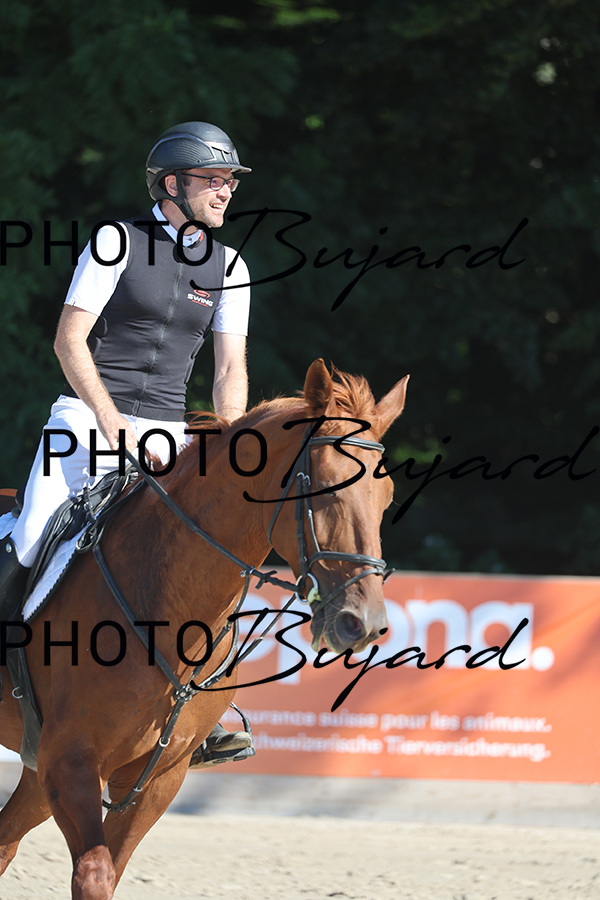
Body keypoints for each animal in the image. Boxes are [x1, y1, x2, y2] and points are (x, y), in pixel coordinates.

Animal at [0, 359, 408, 899]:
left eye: (386, 497)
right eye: (324, 488)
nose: (363, 623)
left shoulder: (153, 779)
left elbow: (110, 866)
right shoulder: (70, 764)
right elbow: (94, 873)